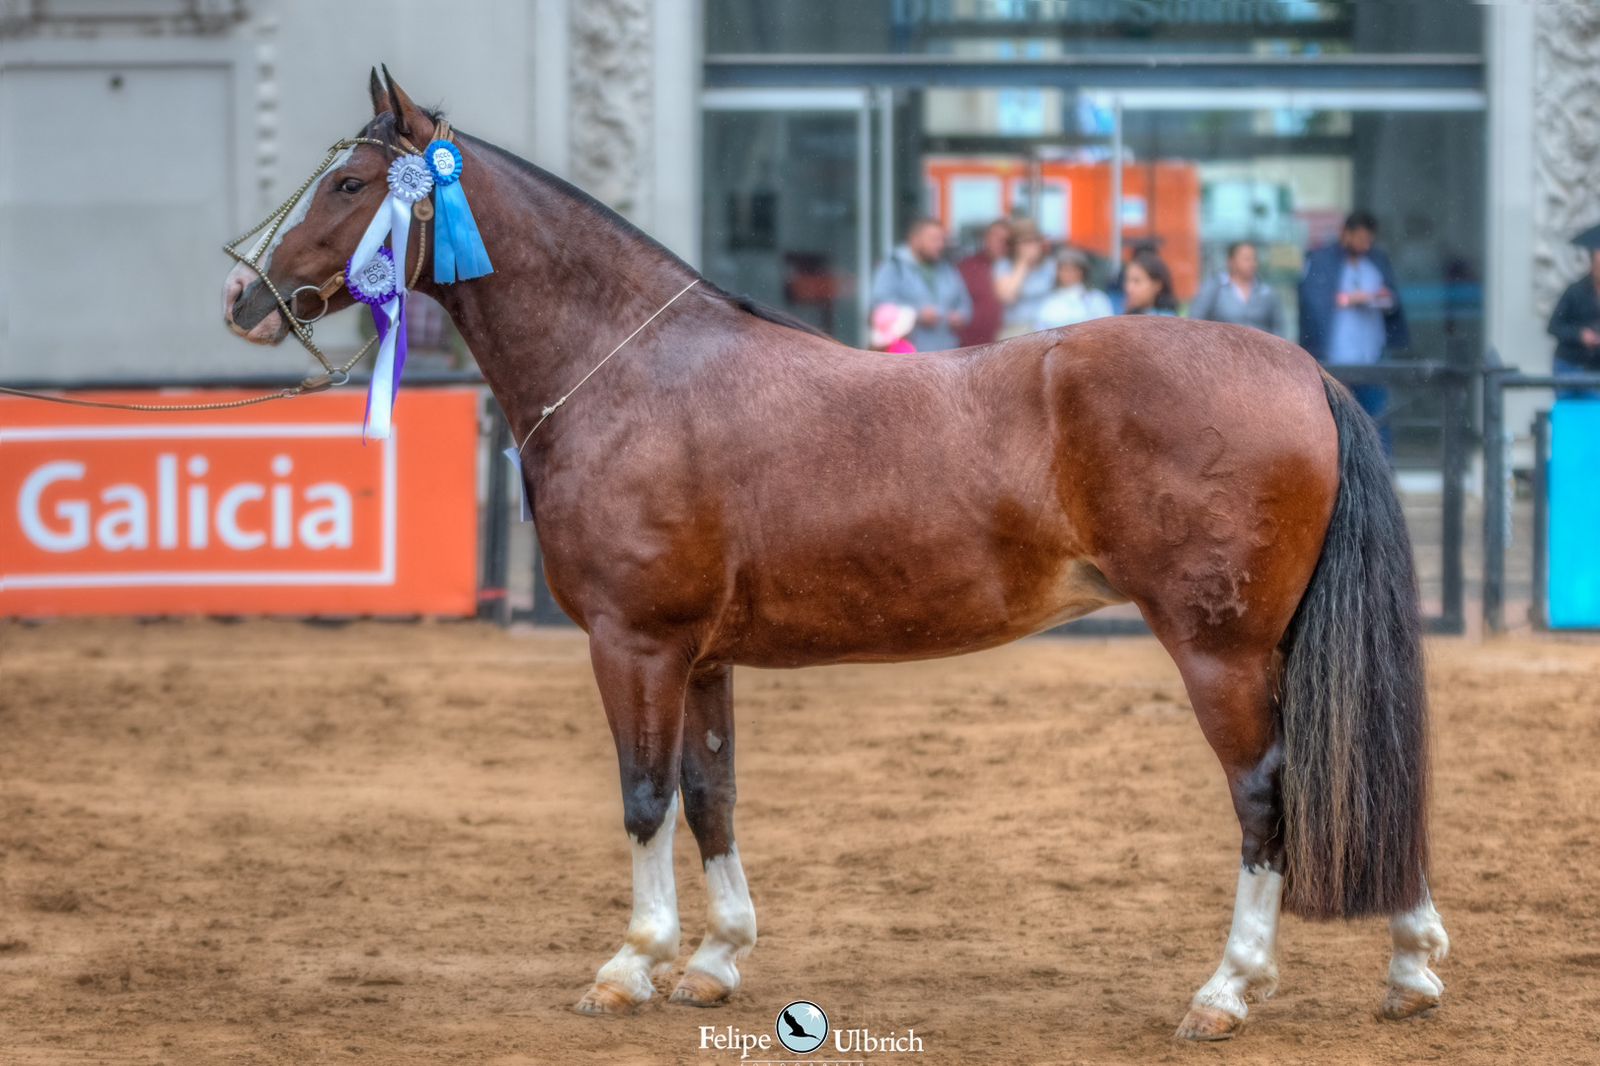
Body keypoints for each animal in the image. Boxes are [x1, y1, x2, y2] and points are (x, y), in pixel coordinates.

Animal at [225, 70, 1452, 1030]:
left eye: (351, 187)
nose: (245, 294)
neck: (632, 372)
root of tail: (1302, 368)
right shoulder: (702, 658)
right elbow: (711, 796)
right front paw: (714, 961)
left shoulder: (635, 644)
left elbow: (643, 797)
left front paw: (629, 963)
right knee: (1368, 771)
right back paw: (1409, 965)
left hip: (1220, 650)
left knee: (1268, 793)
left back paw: (1229, 987)